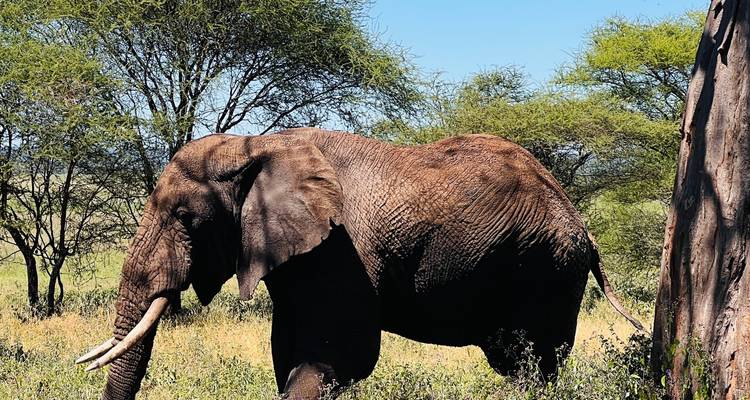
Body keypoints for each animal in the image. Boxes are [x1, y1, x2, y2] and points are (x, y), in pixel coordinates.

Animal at [76, 128, 643, 400]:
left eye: (185, 217)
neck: (257, 146)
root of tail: (584, 226)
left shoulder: (341, 251)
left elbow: (339, 356)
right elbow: (287, 351)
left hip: (549, 268)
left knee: (535, 365)